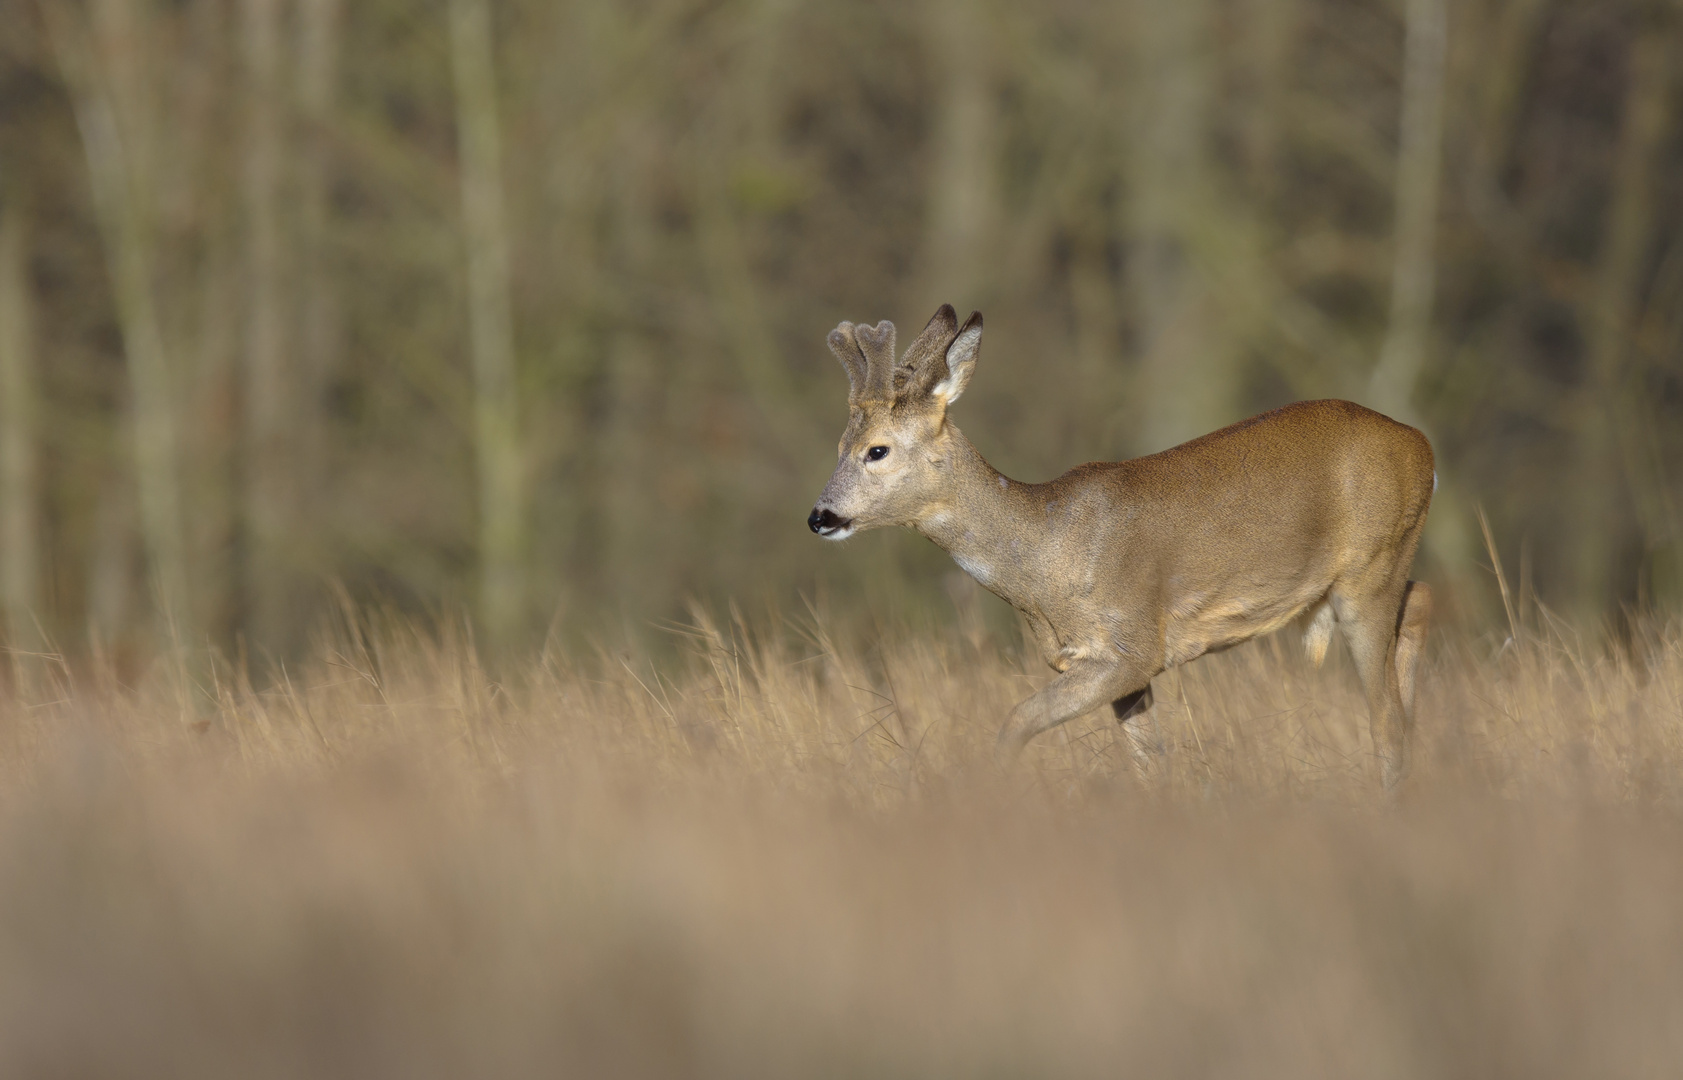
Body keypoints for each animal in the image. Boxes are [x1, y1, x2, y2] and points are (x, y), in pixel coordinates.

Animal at [804, 301, 1433, 780]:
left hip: (1368, 570)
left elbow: (1015, 723)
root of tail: (1423, 446)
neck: (1044, 554)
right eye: (838, 445)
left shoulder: (1134, 645)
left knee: (1386, 716)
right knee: (1420, 604)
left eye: (877, 450)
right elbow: (1151, 763)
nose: (820, 516)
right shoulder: (1112, 667)